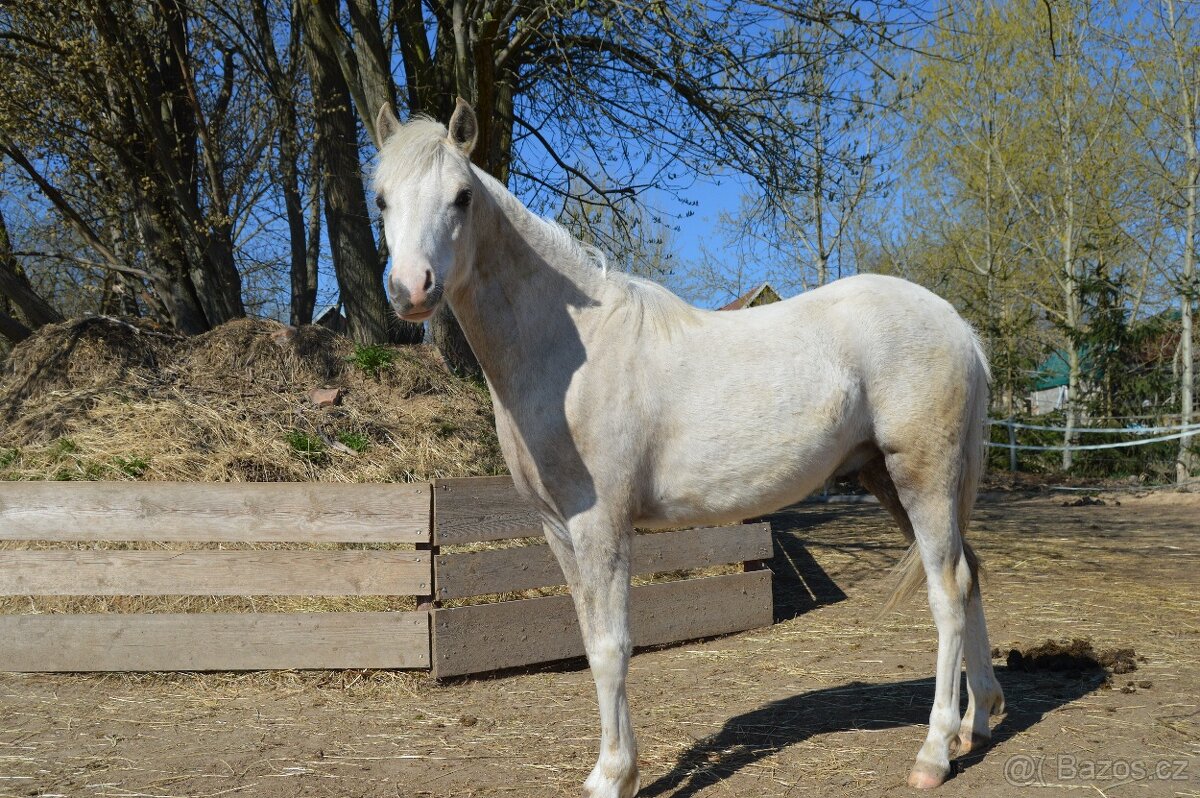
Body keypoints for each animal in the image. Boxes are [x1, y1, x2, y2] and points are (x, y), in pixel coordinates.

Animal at [371, 99, 1005, 797]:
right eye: (380, 199)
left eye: (461, 197)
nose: (411, 288)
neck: (573, 352)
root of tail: (957, 325)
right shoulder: (558, 529)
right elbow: (589, 637)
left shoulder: (602, 524)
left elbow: (612, 646)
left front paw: (613, 776)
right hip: (892, 482)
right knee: (970, 575)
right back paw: (978, 722)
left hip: (923, 477)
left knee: (946, 592)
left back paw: (935, 751)